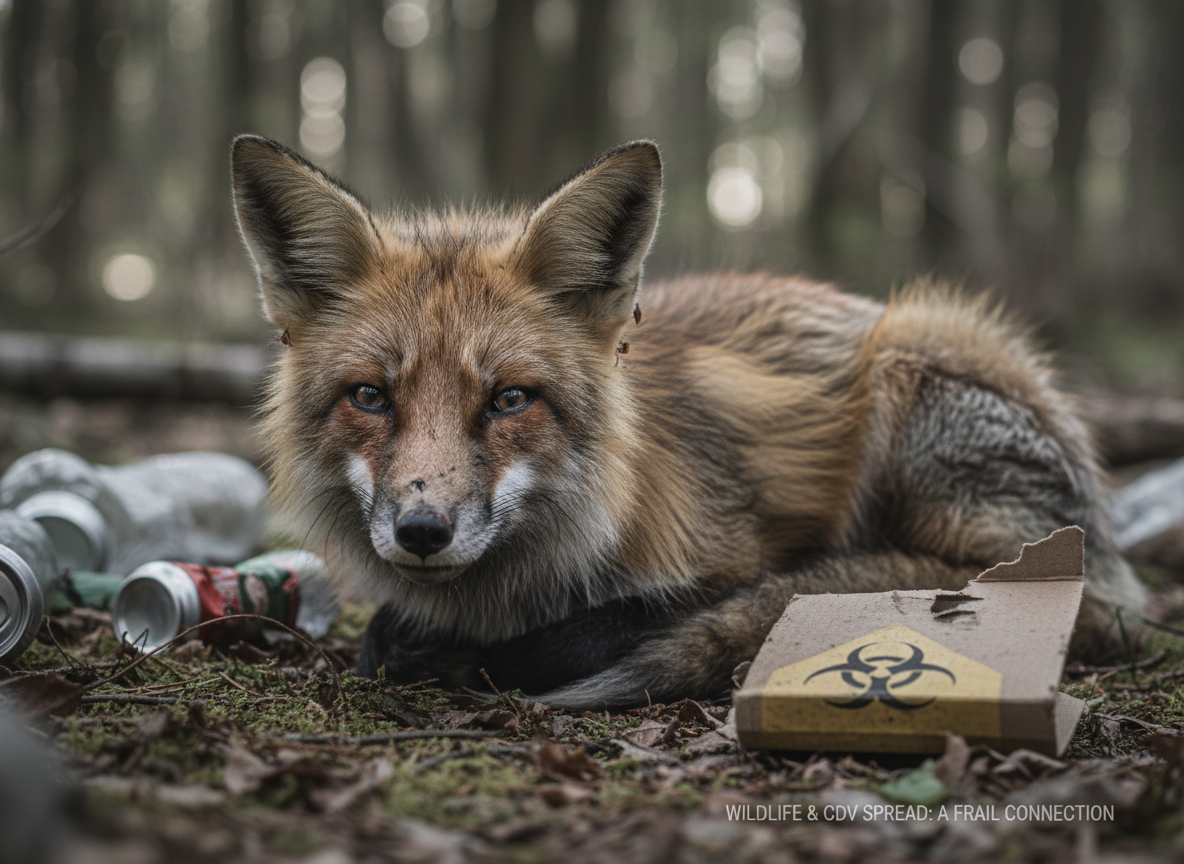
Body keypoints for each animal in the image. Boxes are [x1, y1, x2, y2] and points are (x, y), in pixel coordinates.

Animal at [231, 135, 1149, 710]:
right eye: (370, 398)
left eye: (509, 400)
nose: (423, 531)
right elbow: (385, 640)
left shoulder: (727, 554)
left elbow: (613, 625)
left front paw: (488, 656)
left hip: (921, 357)